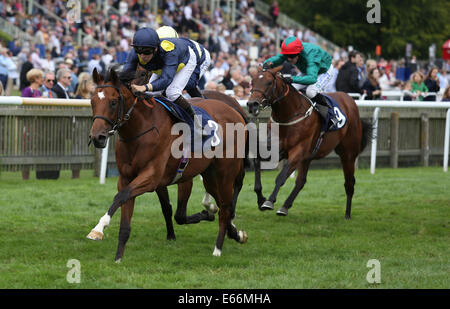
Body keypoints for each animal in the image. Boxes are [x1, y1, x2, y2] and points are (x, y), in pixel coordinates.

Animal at [87, 68, 250, 262]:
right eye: (92, 101)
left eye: (113, 102)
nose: (97, 137)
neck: (142, 130)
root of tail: (235, 111)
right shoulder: (127, 178)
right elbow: (126, 208)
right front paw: (118, 257)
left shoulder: (153, 177)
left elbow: (121, 196)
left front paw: (98, 229)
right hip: (210, 176)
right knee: (223, 204)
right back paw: (234, 233)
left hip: (225, 173)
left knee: (226, 207)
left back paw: (217, 248)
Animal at [246, 66, 372, 218]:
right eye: (252, 81)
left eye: (269, 83)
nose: (252, 104)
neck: (289, 114)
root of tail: (350, 100)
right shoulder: (276, 149)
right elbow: (257, 161)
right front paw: (261, 198)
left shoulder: (298, 151)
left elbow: (281, 176)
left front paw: (269, 201)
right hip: (308, 157)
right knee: (301, 182)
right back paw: (285, 206)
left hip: (348, 154)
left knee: (349, 183)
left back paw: (347, 214)